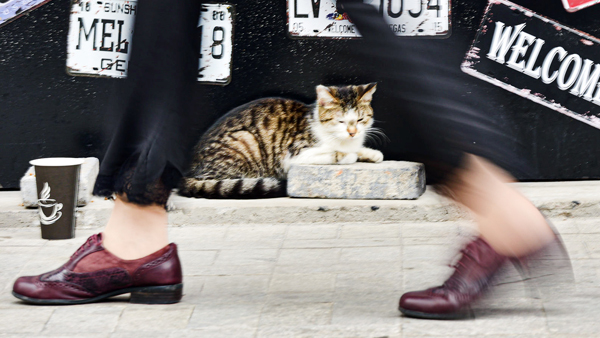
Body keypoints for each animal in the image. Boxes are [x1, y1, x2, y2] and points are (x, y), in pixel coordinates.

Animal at [179, 83, 384, 198]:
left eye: (360, 119)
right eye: (340, 121)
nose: (352, 132)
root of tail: (188, 170)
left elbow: (357, 149)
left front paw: (371, 153)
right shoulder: (294, 155)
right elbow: (337, 153)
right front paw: (348, 155)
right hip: (245, 140)